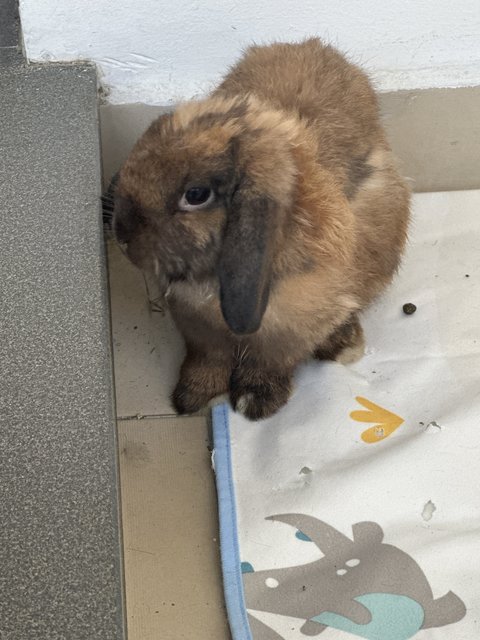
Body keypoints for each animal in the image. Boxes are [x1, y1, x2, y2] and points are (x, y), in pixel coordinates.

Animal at [111, 38, 408, 420]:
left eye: (196, 195)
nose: (121, 235)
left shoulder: (288, 335)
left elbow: (270, 362)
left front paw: (256, 402)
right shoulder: (198, 329)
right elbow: (208, 359)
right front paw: (194, 397)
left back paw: (344, 343)